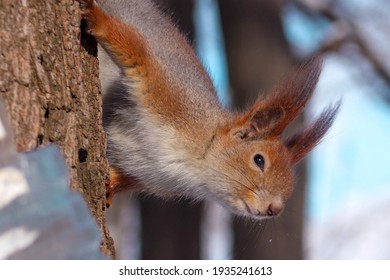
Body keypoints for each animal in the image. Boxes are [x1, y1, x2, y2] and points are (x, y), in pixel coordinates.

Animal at [80, 0, 340, 220]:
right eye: (259, 160)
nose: (274, 209)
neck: (196, 165)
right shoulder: (169, 91)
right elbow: (135, 50)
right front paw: (95, 16)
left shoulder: (146, 174)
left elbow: (120, 176)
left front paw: (108, 188)